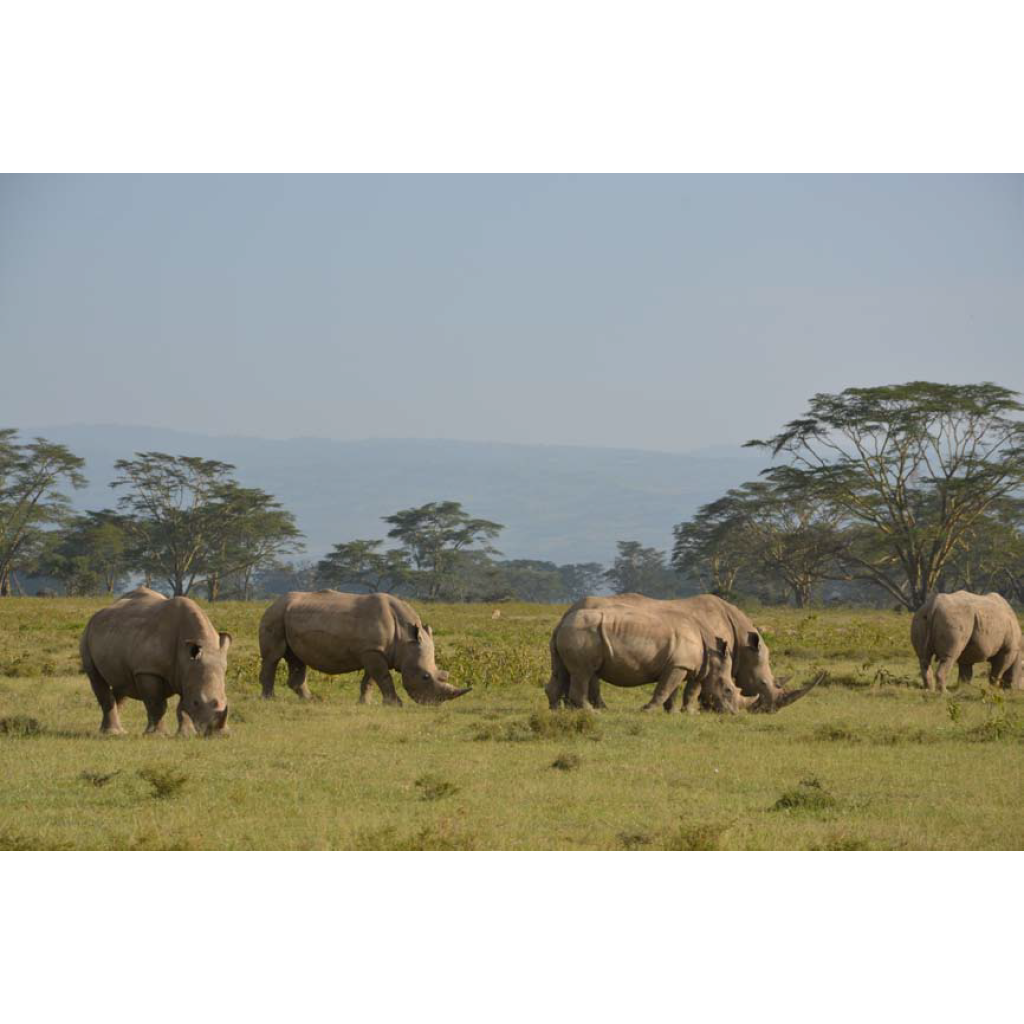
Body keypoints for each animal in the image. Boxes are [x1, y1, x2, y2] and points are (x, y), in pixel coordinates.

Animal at [80, 587, 231, 736]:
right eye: (196, 702)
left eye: (225, 701)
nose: (218, 734)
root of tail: (98, 613)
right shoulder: (148, 670)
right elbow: (157, 704)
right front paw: (157, 735)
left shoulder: (187, 672)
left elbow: (182, 707)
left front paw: (186, 735)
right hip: (87, 634)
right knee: (96, 678)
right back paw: (112, 733)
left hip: (116, 633)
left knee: (122, 682)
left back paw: (115, 731)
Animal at [258, 590, 471, 705]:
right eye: (425, 677)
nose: (433, 704)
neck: (405, 639)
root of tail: (273, 602)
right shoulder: (373, 651)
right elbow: (383, 678)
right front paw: (396, 704)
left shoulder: (373, 651)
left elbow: (371, 680)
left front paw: (366, 703)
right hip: (275, 615)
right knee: (273, 657)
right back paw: (270, 700)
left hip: (289, 616)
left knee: (297, 660)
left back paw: (311, 700)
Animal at [547, 593, 819, 712]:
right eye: (763, 684)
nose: (767, 711)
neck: (742, 641)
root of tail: (565, 615)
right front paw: (706, 708)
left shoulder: (689, 662)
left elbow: (682, 688)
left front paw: (680, 710)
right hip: (586, 634)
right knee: (585, 672)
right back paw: (594, 709)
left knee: (571, 672)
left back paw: (567, 708)